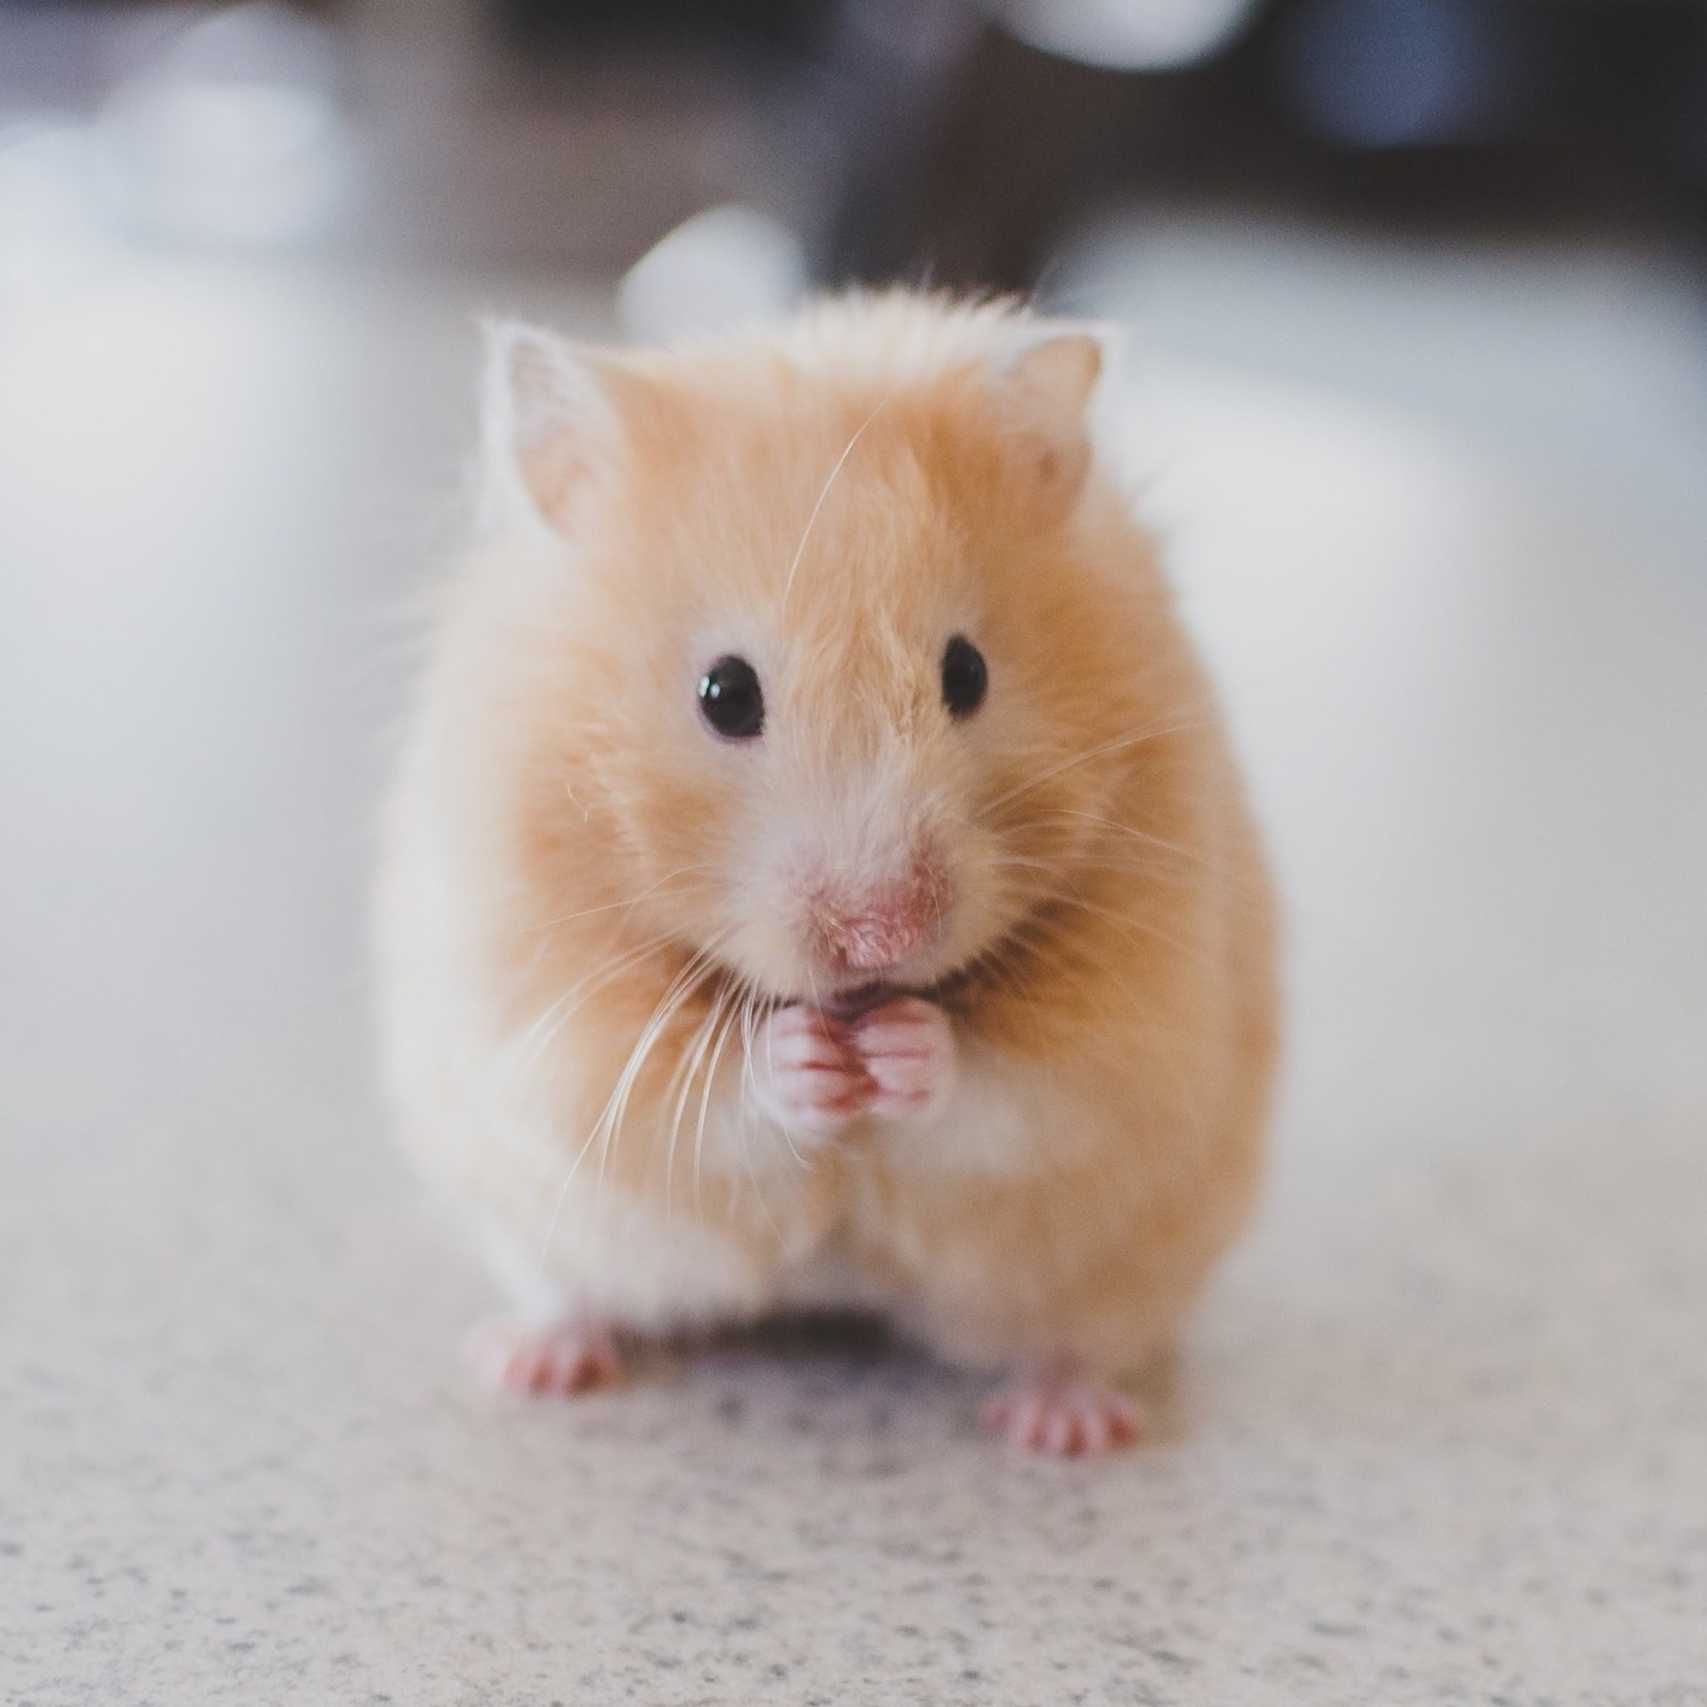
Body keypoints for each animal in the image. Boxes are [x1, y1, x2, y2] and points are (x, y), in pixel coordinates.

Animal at [374, 291, 1279, 1455]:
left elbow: (1019, 1089)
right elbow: (695, 1093)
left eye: (967, 673)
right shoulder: (545, 1013)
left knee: (1078, 1338)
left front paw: (901, 1050)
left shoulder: (1138, 1021)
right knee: (571, 1291)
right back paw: (530, 1362)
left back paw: (1062, 1426)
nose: (881, 936)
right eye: (724, 693)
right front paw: (806, 1058)